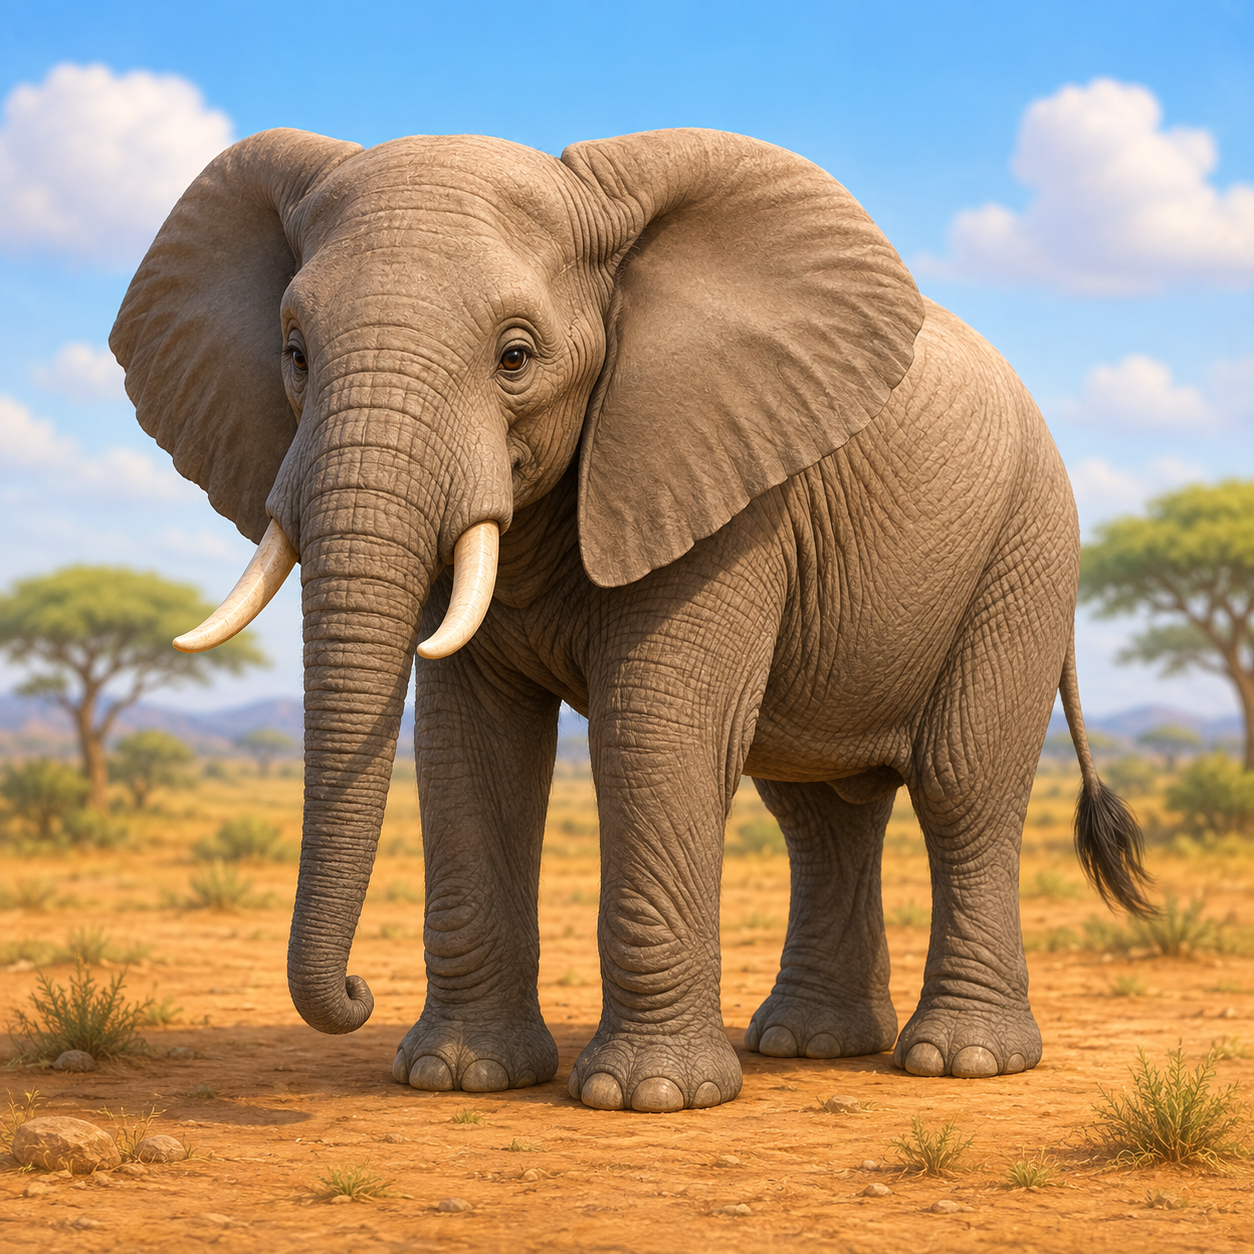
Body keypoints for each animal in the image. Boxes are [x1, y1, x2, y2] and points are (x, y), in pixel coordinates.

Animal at [110, 126, 1149, 1112]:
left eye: (516, 357)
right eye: (293, 354)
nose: (360, 992)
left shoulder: (727, 486)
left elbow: (655, 731)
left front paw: (646, 1096)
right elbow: (471, 744)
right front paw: (458, 1076)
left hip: (1026, 553)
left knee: (962, 783)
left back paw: (962, 1061)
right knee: (820, 813)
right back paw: (810, 1045)